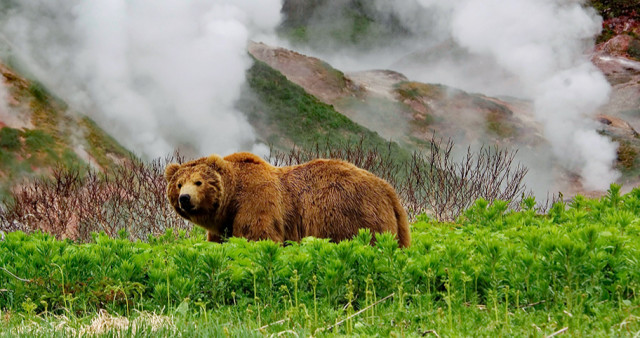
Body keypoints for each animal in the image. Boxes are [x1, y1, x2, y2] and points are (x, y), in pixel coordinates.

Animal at [164, 152, 410, 247]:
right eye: (179, 184)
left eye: (198, 182)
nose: (185, 198)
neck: (231, 200)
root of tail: (389, 191)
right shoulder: (224, 224)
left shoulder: (257, 202)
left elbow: (259, 237)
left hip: (356, 218)